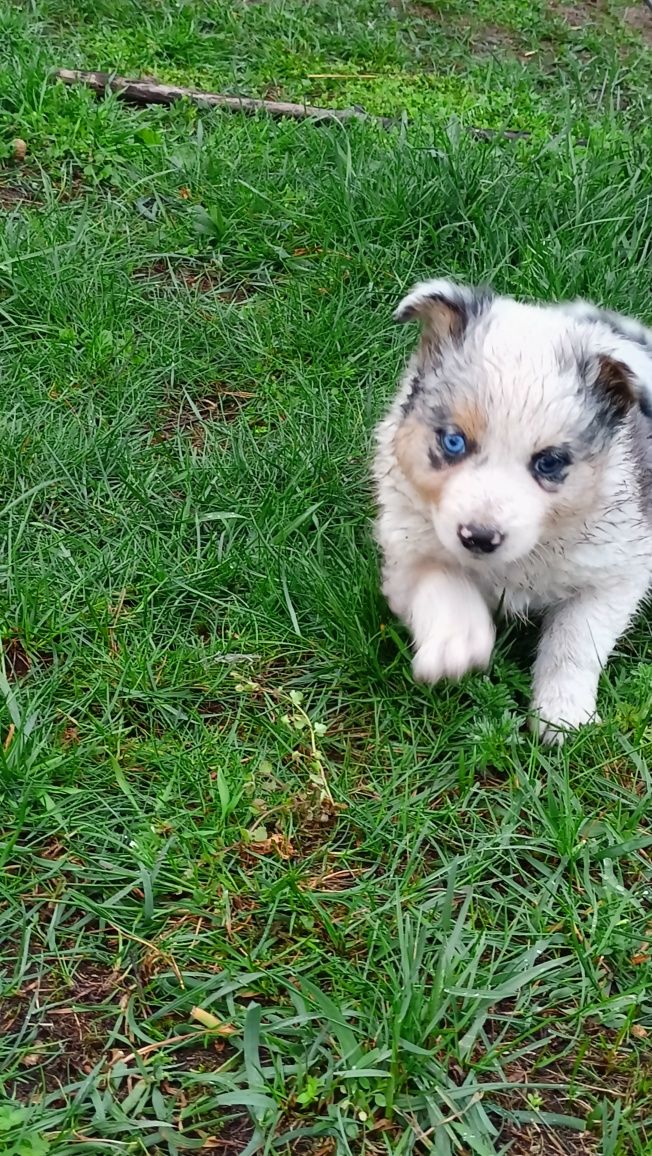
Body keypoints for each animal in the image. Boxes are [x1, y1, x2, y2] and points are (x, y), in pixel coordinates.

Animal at [374, 284, 652, 744]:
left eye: (549, 462)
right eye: (453, 442)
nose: (479, 537)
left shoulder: (617, 570)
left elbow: (576, 641)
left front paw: (562, 713)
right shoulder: (407, 546)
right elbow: (441, 581)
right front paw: (457, 640)